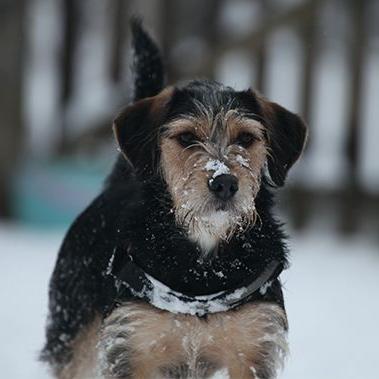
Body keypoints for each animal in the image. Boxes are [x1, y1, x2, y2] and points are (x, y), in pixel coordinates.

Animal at [41, 20, 308, 379]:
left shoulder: (253, 344)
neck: (204, 267)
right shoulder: (134, 342)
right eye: (186, 138)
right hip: (75, 337)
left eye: (246, 138)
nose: (224, 182)